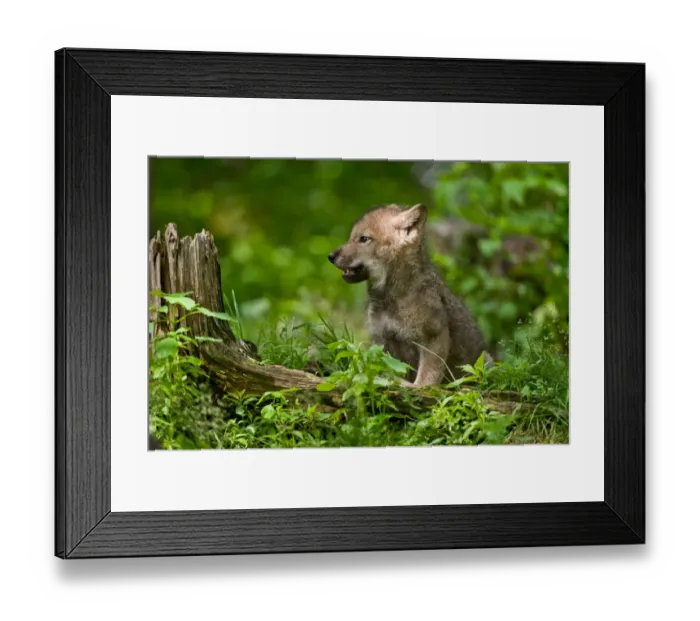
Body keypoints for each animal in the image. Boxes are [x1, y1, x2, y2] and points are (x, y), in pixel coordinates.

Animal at [328, 203, 489, 386]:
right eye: (352, 237)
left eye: (363, 239)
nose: (330, 256)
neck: (390, 298)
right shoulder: (382, 339)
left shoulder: (433, 337)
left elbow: (426, 378)